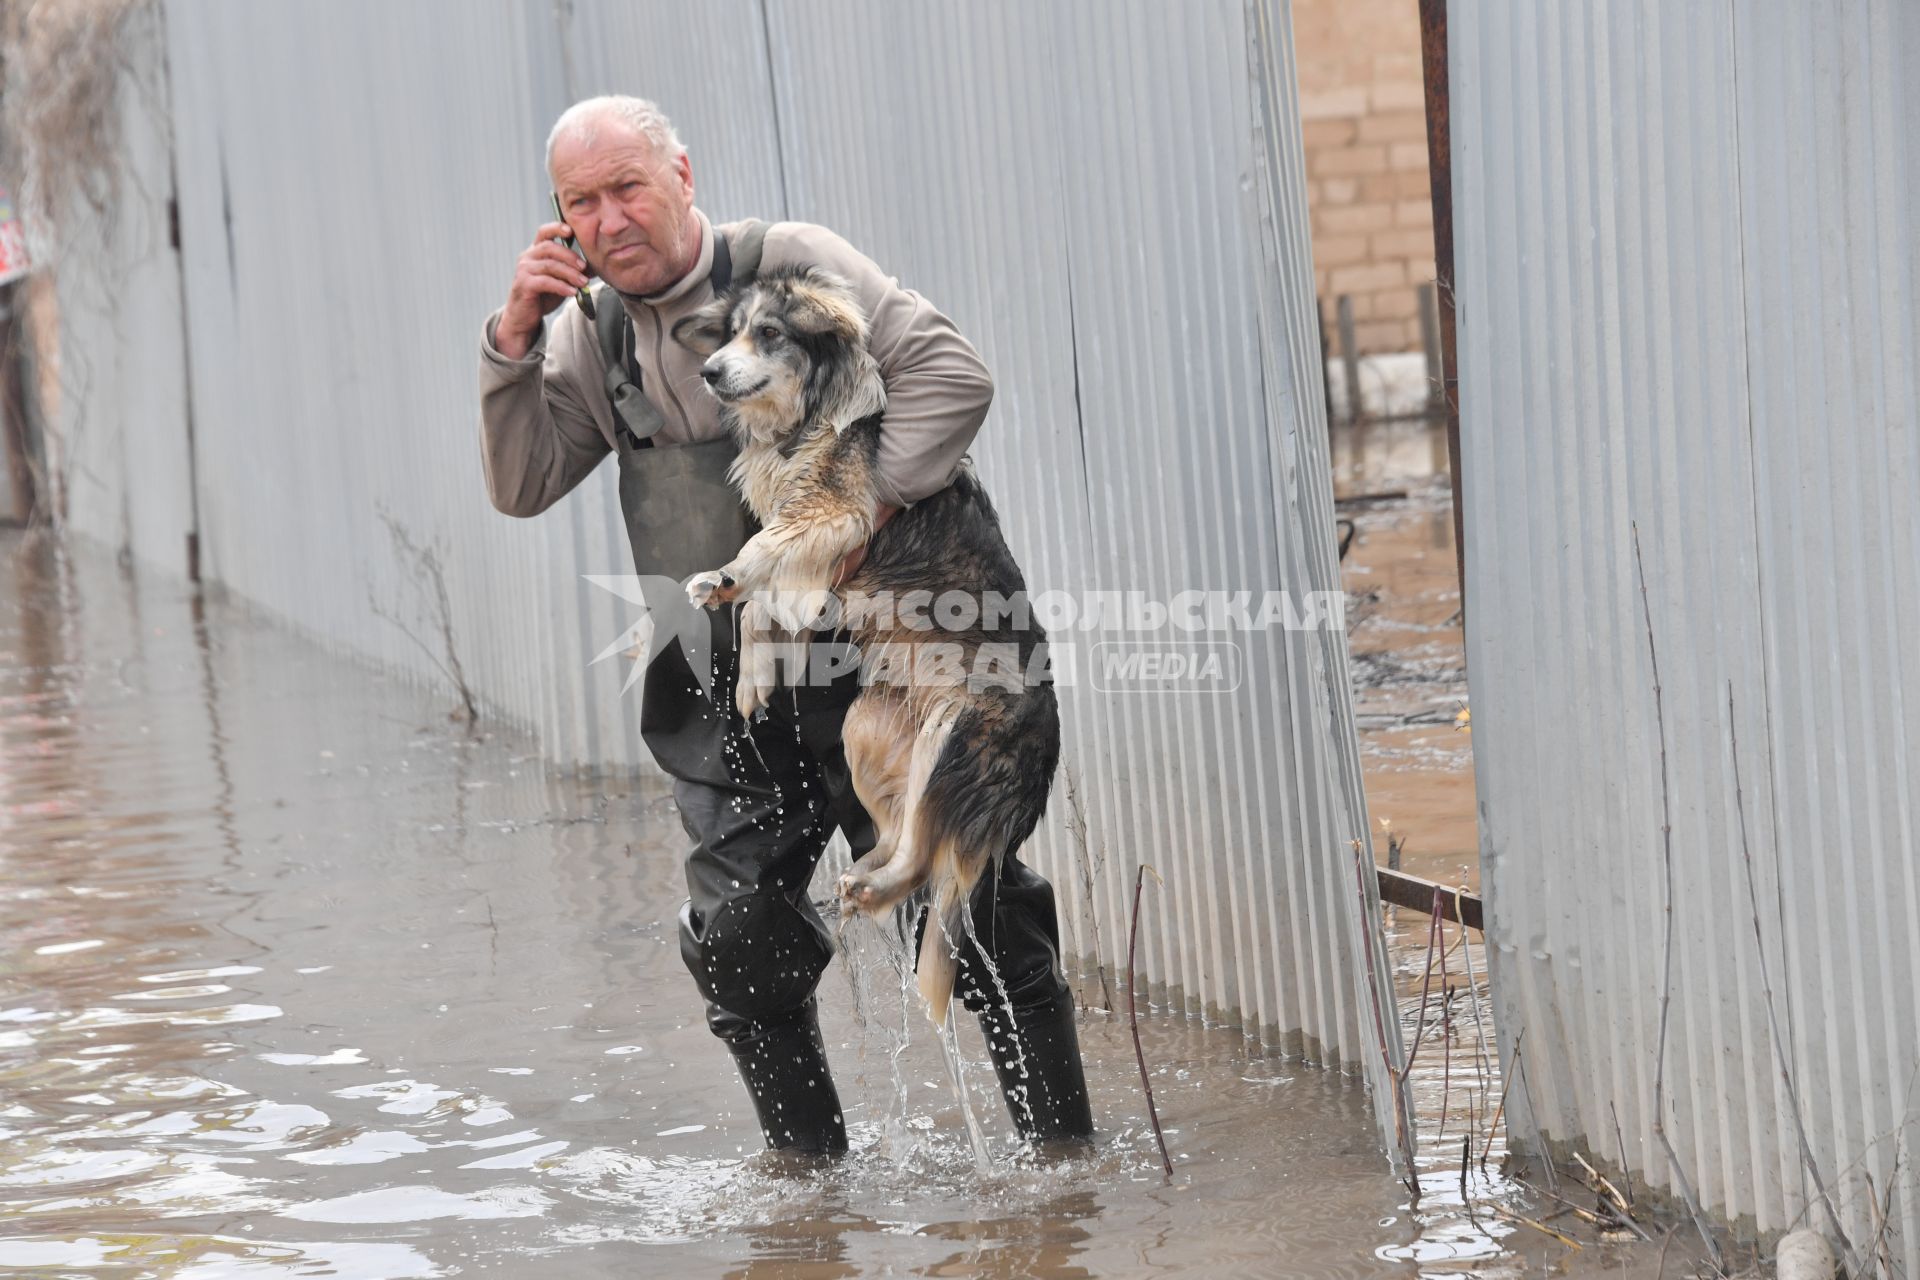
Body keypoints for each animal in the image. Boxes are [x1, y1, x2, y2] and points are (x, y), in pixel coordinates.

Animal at [672, 264, 1067, 1028]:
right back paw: (862, 878)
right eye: (732, 332)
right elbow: (762, 600)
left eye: (770, 334)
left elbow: (760, 558)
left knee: (923, 859)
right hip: (869, 727)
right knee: (906, 838)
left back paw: (873, 889)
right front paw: (751, 661)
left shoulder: (835, 512)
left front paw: (725, 583)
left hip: (955, 736)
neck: (801, 419)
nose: (707, 371)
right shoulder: (815, 549)